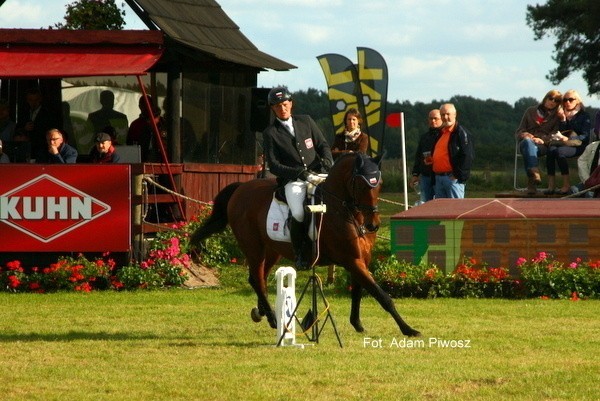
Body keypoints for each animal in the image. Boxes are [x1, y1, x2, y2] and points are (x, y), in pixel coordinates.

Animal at [190, 152, 420, 336]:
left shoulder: (361, 259)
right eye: (361, 184)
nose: (373, 225)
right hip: (253, 247)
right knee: (257, 278)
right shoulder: (352, 260)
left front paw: (357, 324)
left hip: (271, 249)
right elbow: (381, 295)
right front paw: (408, 329)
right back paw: (273, 319)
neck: (344, 210)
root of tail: (241, 188)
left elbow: (358, 291)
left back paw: (262, 312)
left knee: (260, 277)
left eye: (379, 184)